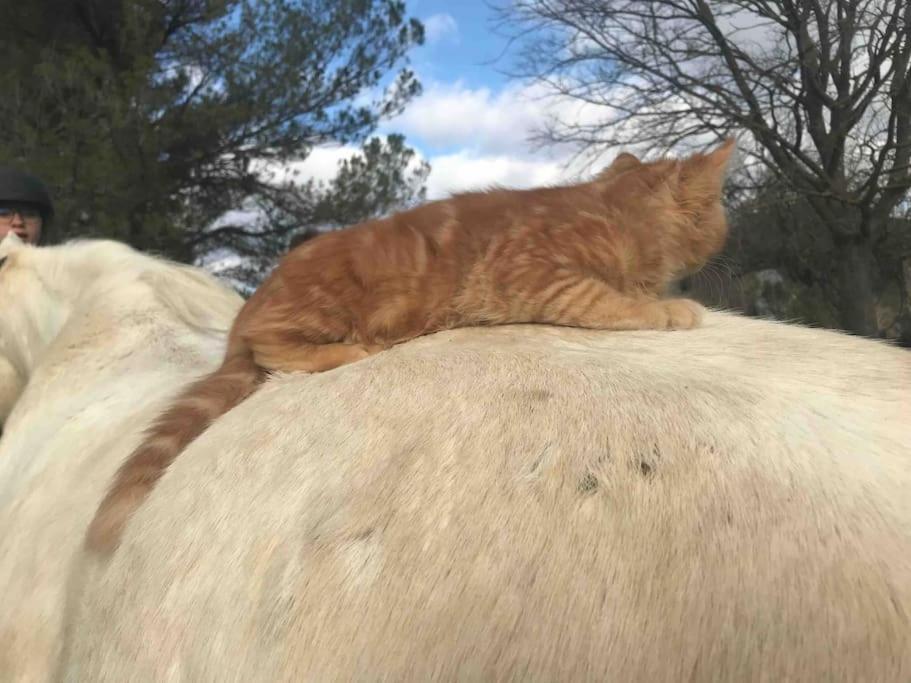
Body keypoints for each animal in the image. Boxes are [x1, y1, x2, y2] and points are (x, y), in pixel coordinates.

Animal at [85, 140, 736, 556]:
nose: (725, 241)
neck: (612, 209)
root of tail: (253, 303)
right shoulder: (534, 276)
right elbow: (614, 302)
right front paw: (668, 308)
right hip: (322, 306)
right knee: (274, 348)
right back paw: (350, 351)